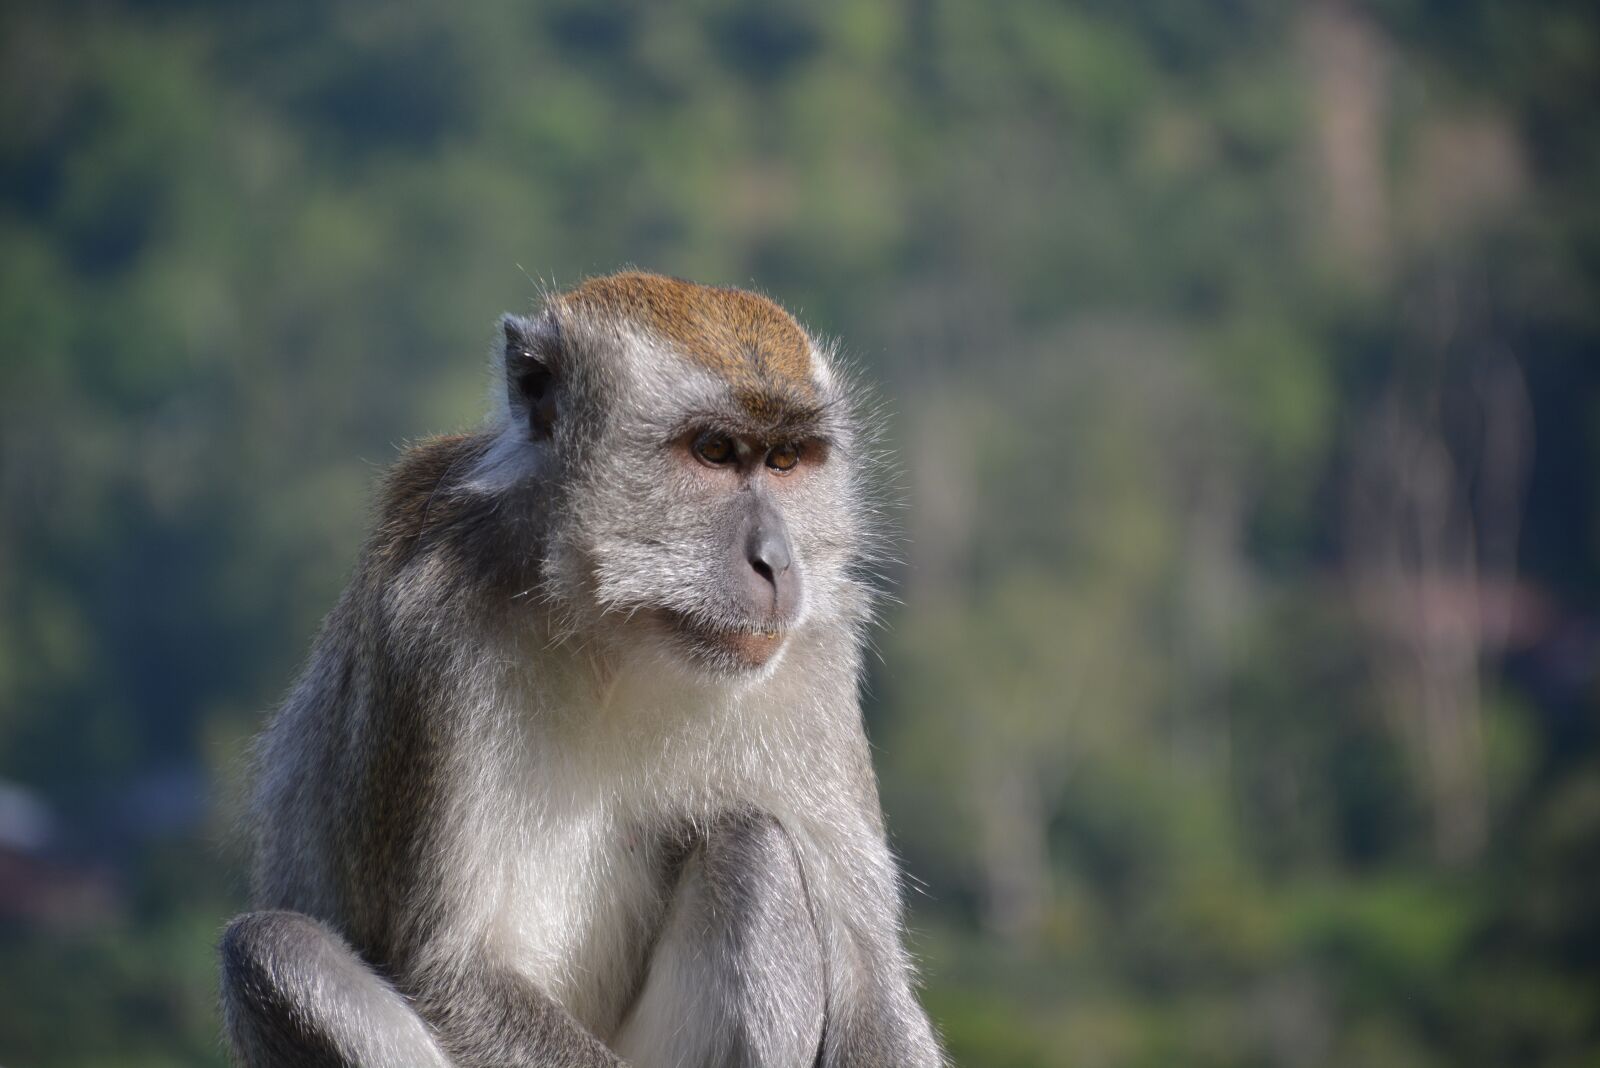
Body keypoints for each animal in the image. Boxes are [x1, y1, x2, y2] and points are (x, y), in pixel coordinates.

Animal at [219, 271, 947, 1068]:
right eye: (715, 451)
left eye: (786, 461)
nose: (777, 563)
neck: (610, 633)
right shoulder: (428, 631)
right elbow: (450, 973)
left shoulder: (813, 656)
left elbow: (873, 995)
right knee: (277, 950)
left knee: (754, 850)